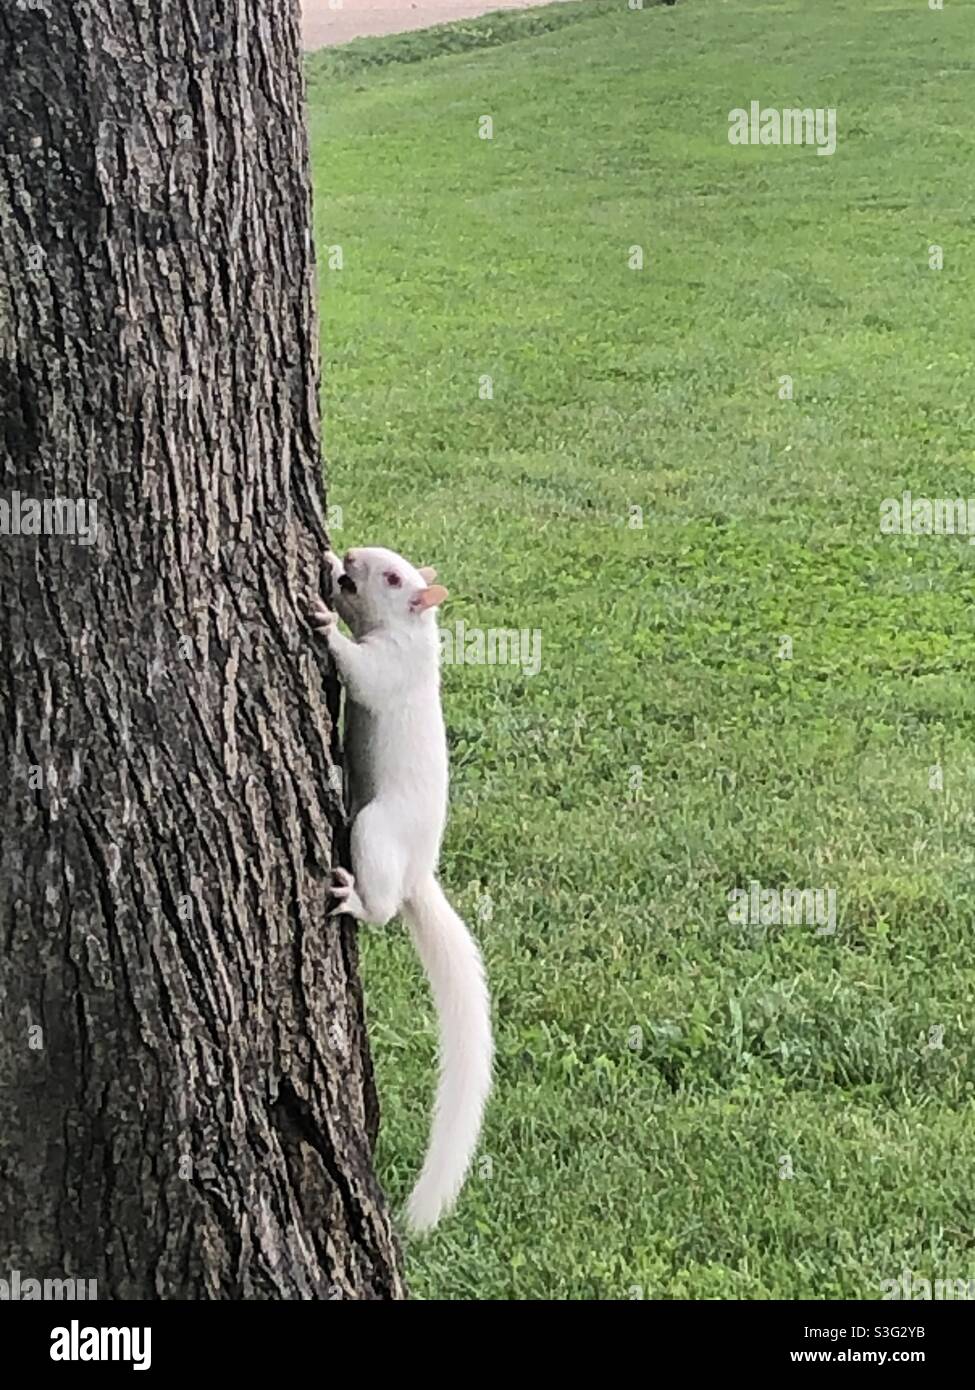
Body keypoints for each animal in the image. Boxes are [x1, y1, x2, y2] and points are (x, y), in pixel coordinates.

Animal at [305, 547, 489, 1234]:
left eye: (391, 578)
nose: (351, 557)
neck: (415, 633)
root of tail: (416, 876)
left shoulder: (390, 669)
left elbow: (359, 673)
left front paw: (324, 621)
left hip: (376, 829)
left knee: (381, 910)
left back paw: (354, 899)